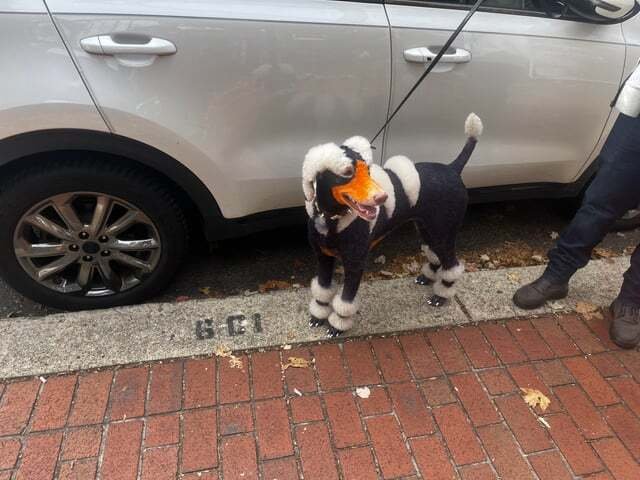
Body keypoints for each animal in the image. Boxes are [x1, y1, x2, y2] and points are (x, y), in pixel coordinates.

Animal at [303, 113, 483, 337]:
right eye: (347, 172)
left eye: (368, 170)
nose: (382, 197)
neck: (331, 219)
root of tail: (452, 168)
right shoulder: (323, 258)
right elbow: (323, 290)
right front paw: (318, 315)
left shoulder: (355, 264)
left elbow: (346, 300)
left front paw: (338, 324)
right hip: (427, 228)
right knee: (435, 253)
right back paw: (428, 277)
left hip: (444, 231)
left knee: (452, 264)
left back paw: (441, 295)